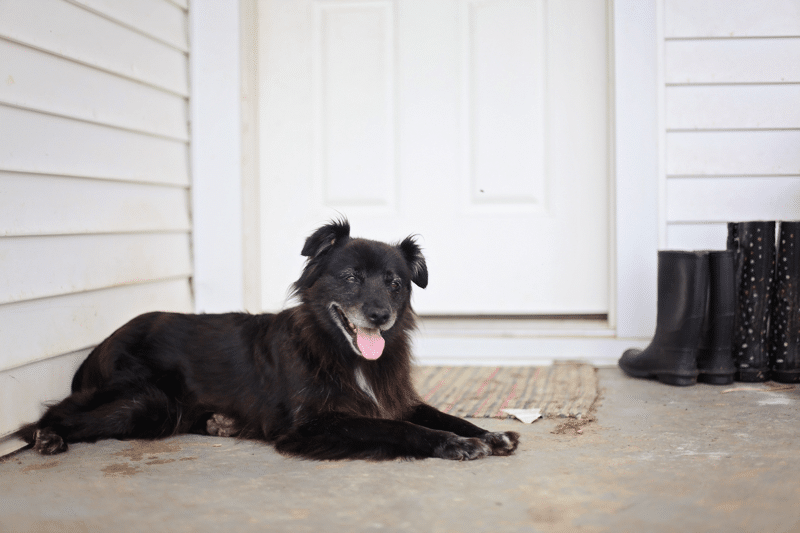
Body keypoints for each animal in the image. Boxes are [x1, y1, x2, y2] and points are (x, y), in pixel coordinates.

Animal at [17, 218, 524, 460]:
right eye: (351, 277)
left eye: (395, 283)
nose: (380, 317)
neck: (341, 352)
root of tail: (103, 344)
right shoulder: (314, 424)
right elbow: (398, 429)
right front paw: (453, 445)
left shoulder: (393, 399)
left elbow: (445, 415)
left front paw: (489, 433)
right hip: (145, 402)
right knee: (54, 415)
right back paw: (47, 438)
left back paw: (222, 423)